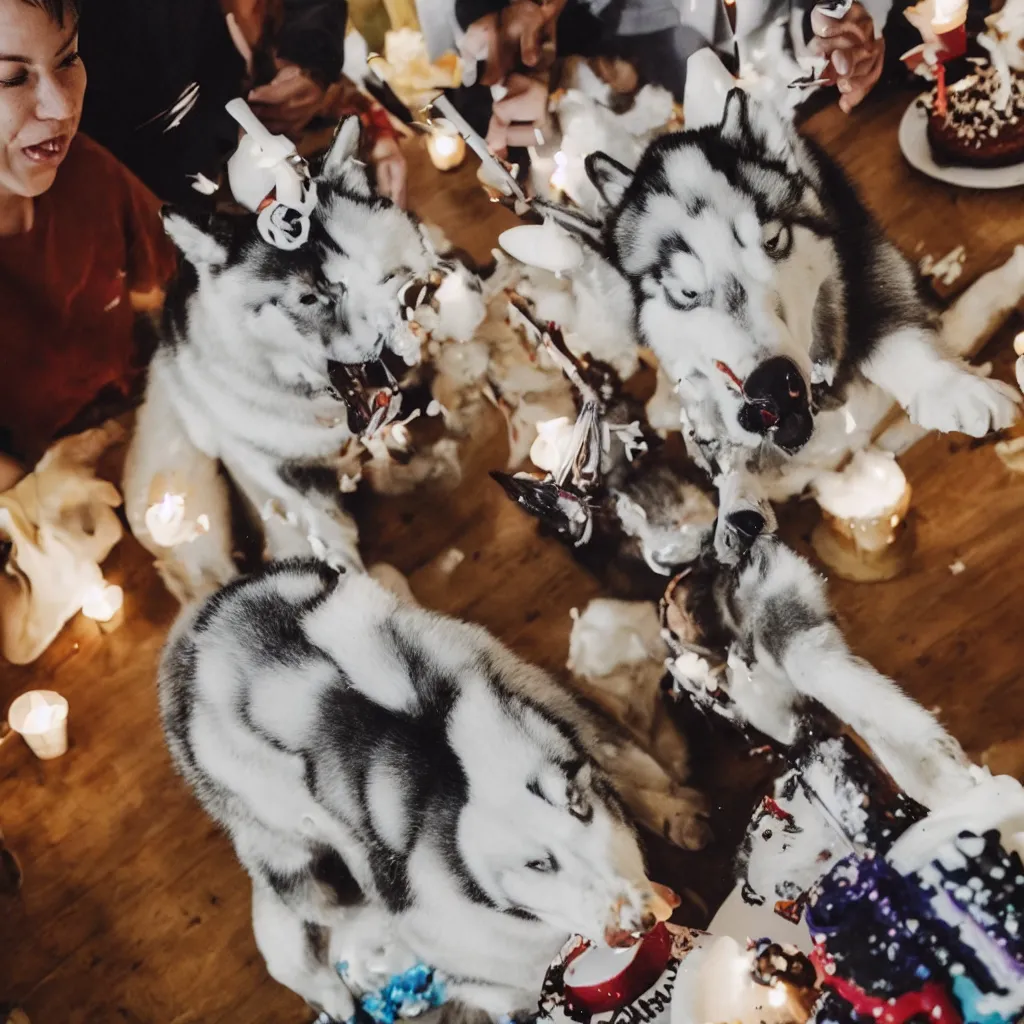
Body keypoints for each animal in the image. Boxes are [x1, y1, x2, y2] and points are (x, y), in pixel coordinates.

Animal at [159, 561, 708, 1024]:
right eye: (536, 864)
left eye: (579, 808)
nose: (637, 922)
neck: (437, 736)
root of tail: (198, 624)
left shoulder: (572, 723)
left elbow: (635, 772)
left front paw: (676, 813)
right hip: (291, 848)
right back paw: (335, 994)